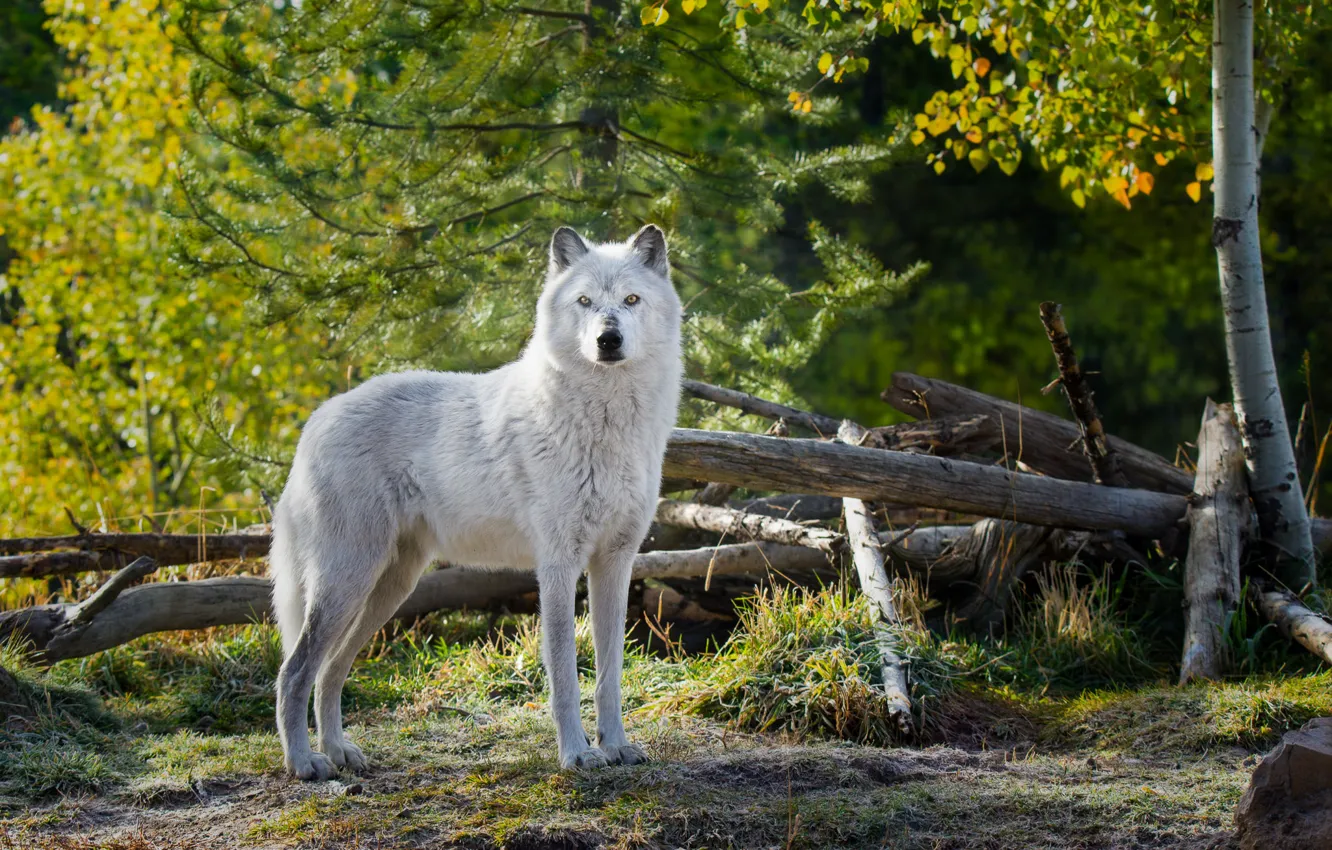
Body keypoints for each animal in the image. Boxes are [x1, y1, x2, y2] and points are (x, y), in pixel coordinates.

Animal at [273, 225, 687, 778]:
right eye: (584, 301)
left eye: (631, 300)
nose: (608, 339)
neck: (606, 423)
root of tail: (315, 420)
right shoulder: (557, 565)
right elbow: (564, 675)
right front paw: (577, 754)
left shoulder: (615, 564)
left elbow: (609, 674)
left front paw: (616, 746)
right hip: (348, 580)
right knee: (294, 671)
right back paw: (304, 762)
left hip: (387, 588)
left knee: (329, 671)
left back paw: (341, 753)